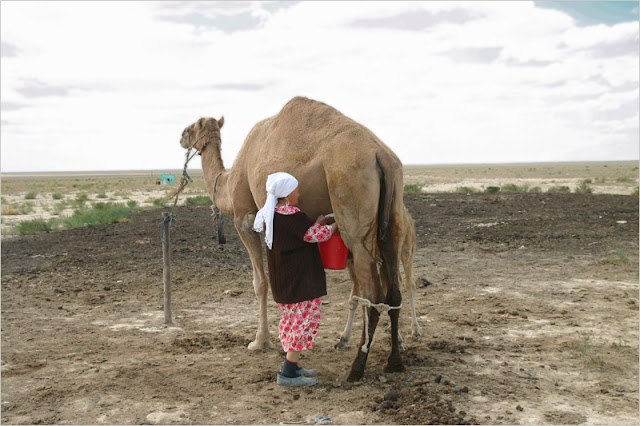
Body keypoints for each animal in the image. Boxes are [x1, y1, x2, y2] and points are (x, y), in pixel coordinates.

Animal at [181, 96, 404, 380]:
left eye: (195, 125)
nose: (182, 136)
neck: (229, 182)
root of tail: (380, 155)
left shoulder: (245, 216)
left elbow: (260, 282)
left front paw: (260, 341)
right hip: (392, 218)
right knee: (393, 290)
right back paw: (394, 361)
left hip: (352, 205)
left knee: (373, 294)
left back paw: (356, 369)